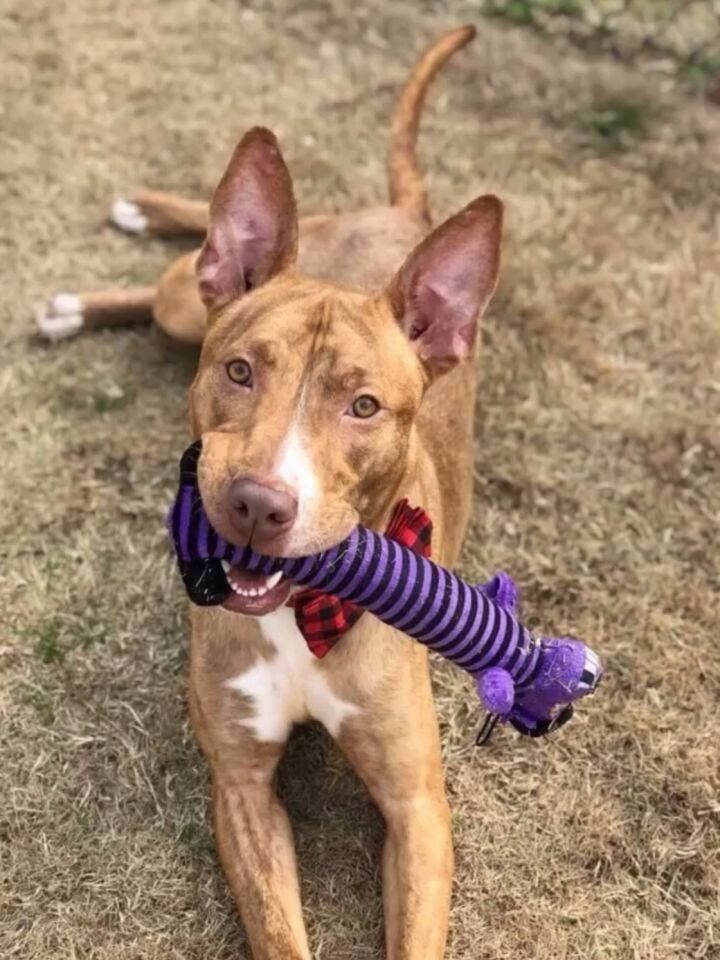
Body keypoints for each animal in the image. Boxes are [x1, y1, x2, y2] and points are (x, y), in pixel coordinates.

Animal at [38, 26, 503, 959]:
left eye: (364, 406)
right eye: (240, 371)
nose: (257, 504)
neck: (303, 611)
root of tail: (401, 217)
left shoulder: (417, 807)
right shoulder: (242, 787)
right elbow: (279, 930)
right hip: (192, 300)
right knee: (179, 271)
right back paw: (109, 262)